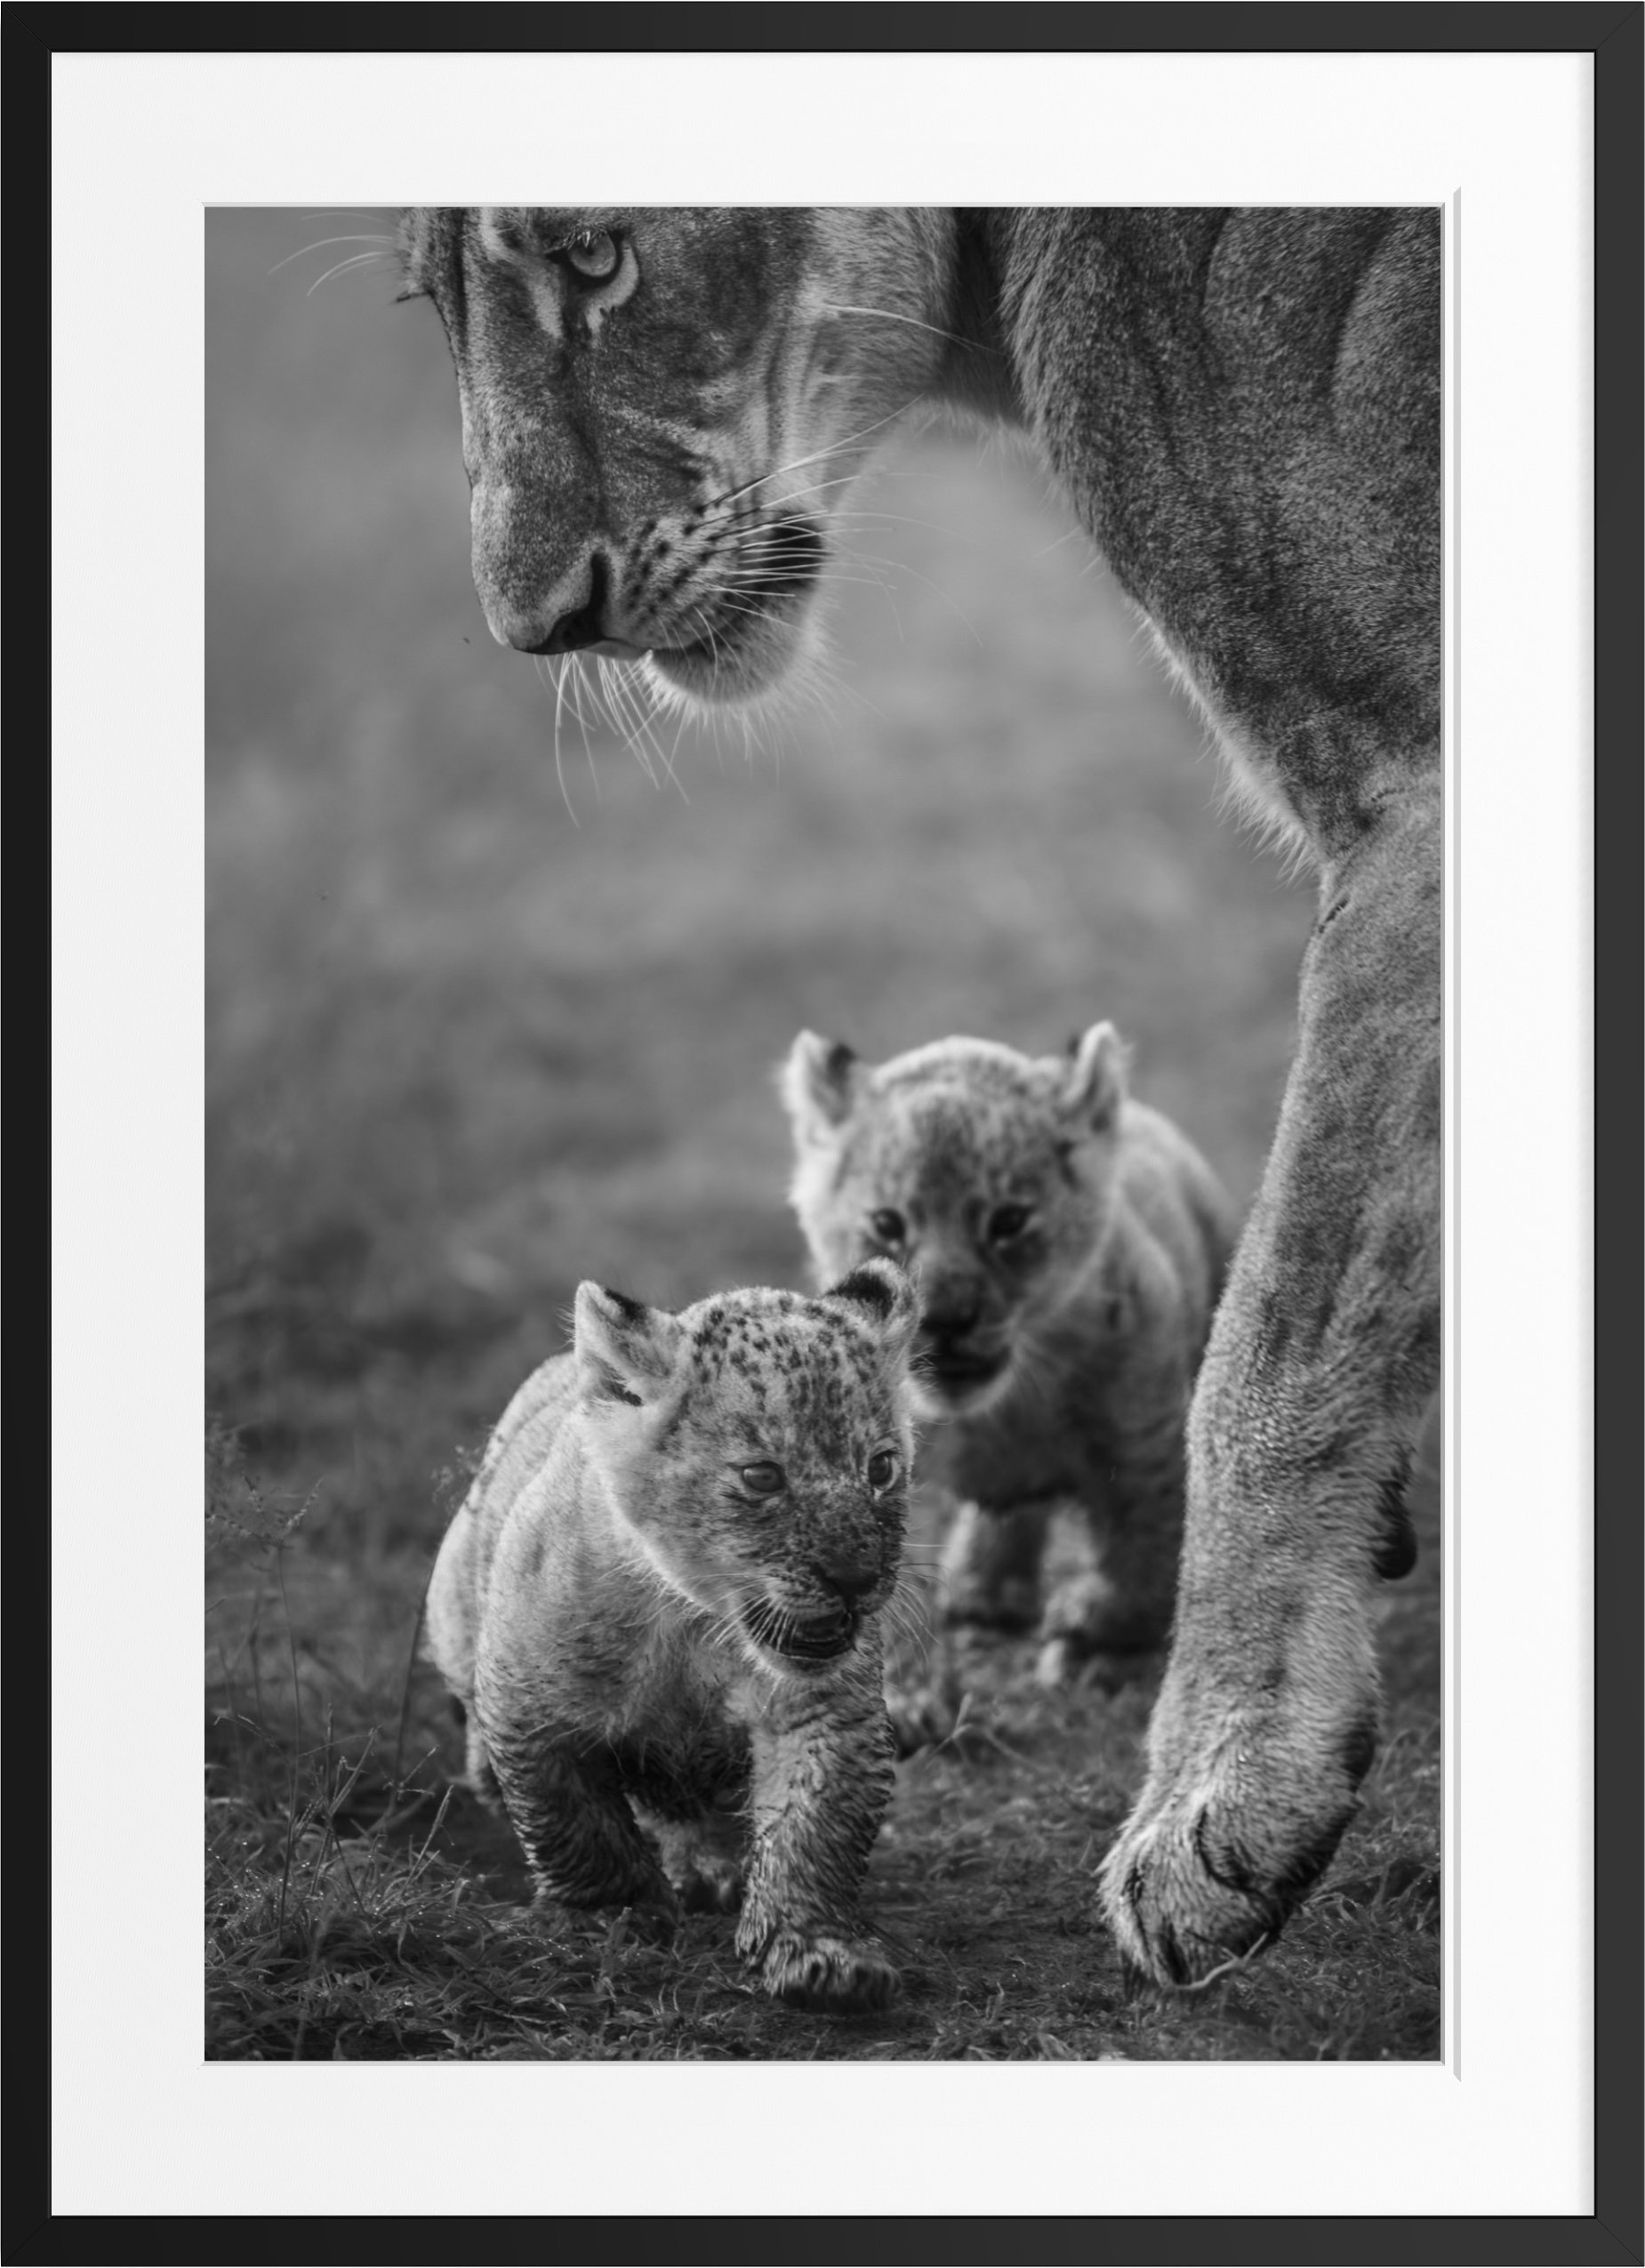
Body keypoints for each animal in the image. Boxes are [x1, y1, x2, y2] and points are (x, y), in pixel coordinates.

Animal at [424, 1259, 920, 2013]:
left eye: (881, 1468)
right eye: (761, 1475)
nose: (856, 1577)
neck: (695, 1623)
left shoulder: (825, 1711)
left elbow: (815, 1826)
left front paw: (819, 1953)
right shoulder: (531, 1706)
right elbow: (575, 1824)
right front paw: (613, 1916)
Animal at [781, 1021, 1238, 1691]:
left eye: (1009, 1221)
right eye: (888, 1224)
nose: (947, 1320)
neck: (1005, 1409)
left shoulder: (1145, 1444)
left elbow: (1150, 1550)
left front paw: (1099, 1641)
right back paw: (986, 1594)